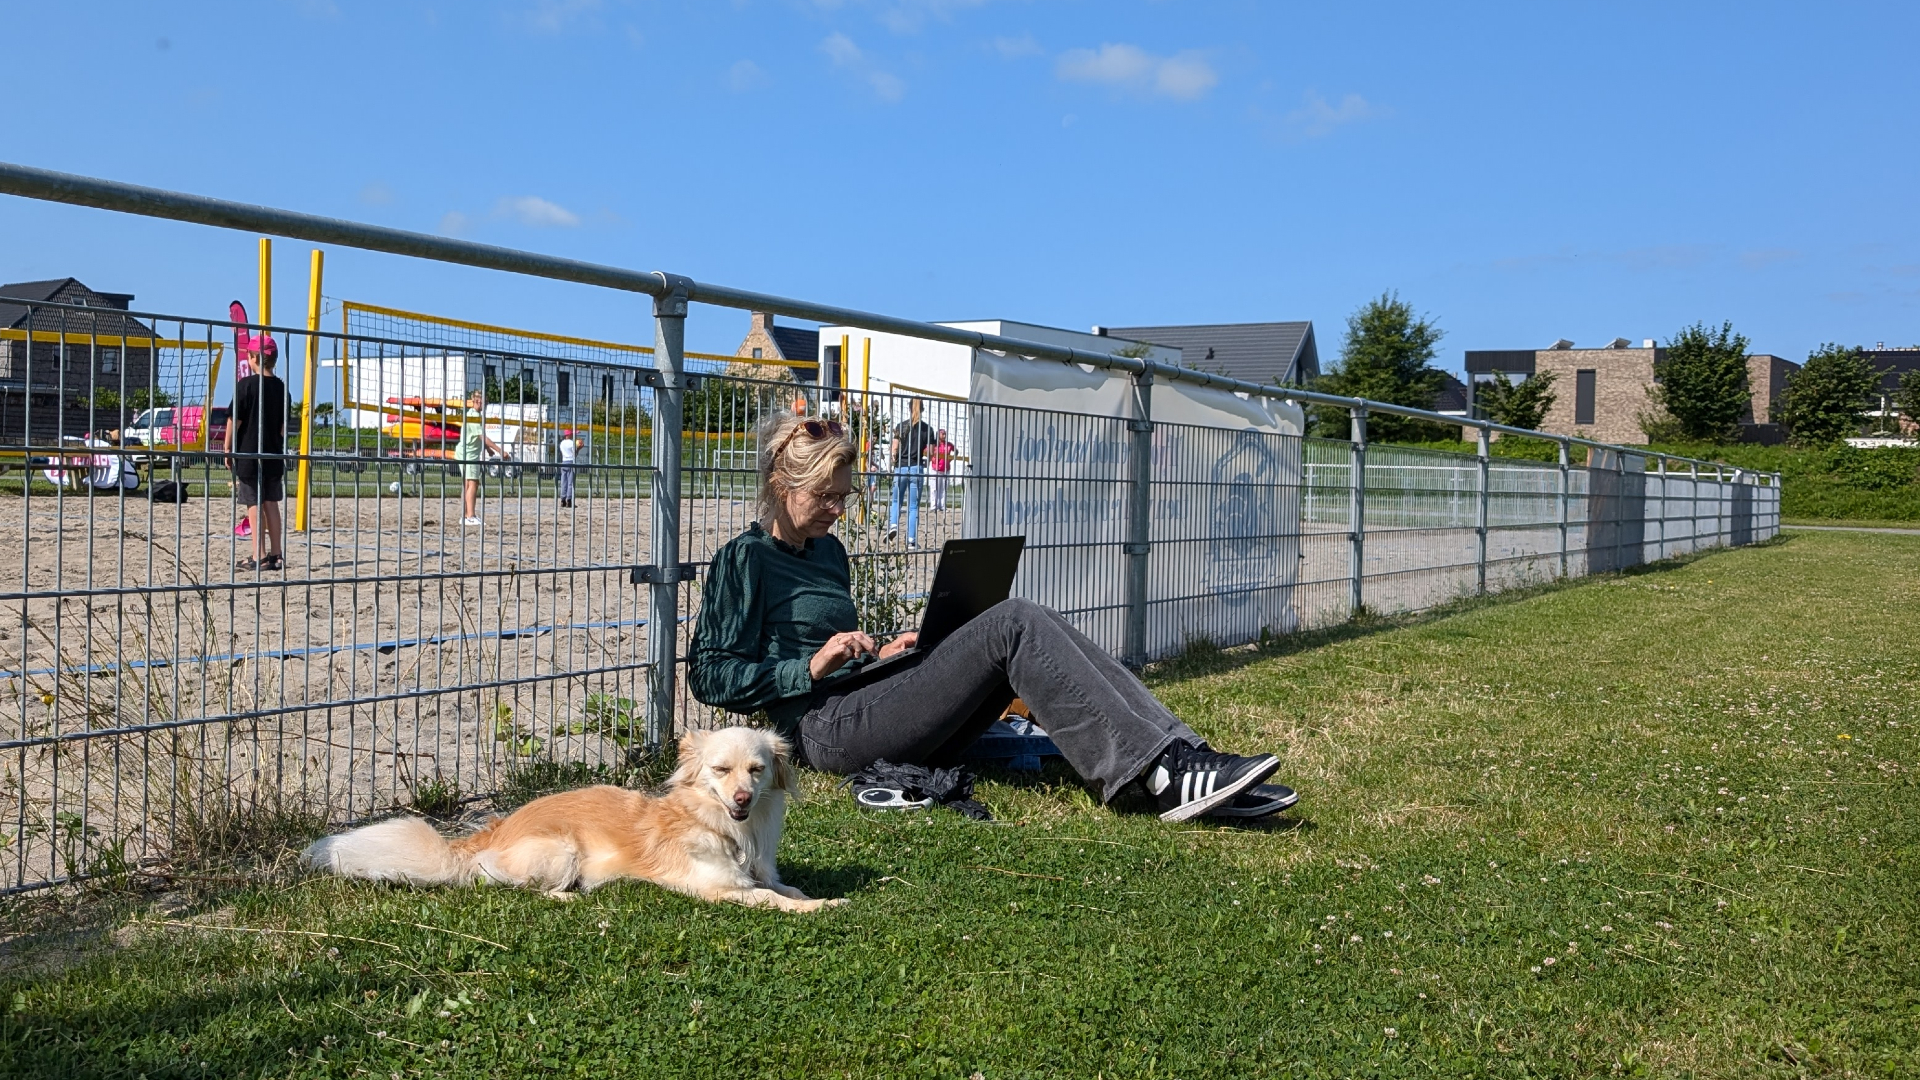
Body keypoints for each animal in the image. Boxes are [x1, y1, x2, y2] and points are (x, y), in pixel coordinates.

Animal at [299, 722, 840, 907]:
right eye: (721, 771)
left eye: (757, 770)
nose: (743, 798)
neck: (728, 830)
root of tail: (487, 833)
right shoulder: (719, 889)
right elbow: (774, 900)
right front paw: (821, 908)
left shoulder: (759, 871)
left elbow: (786, 887)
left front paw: (820, 896)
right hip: (562, 852)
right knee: (516, 887)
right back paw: (571, 898)